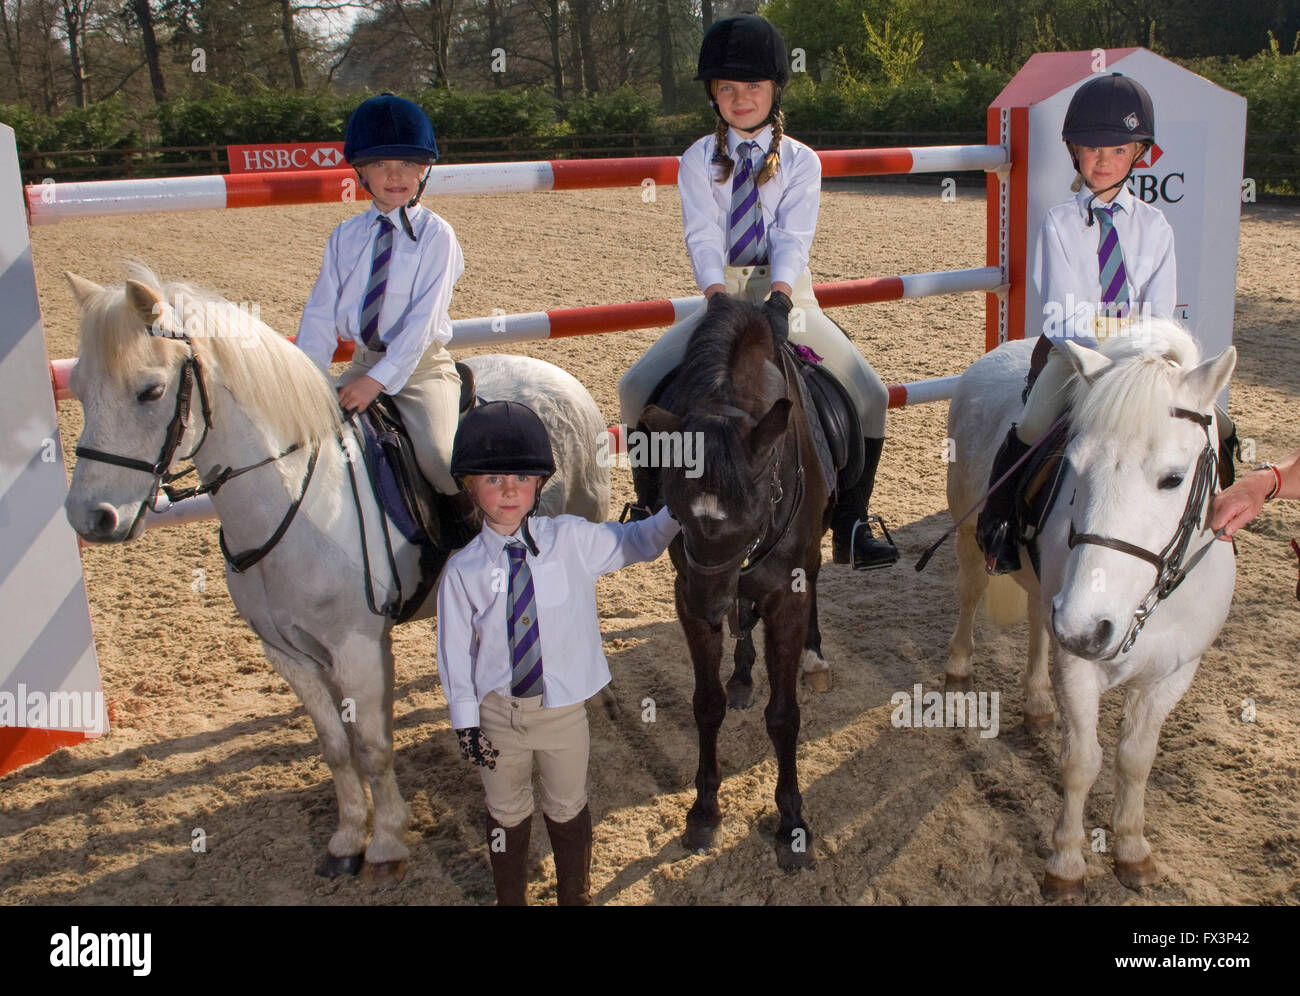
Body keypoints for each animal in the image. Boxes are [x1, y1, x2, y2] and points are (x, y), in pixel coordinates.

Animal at [62, 265, 609, 883]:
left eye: (150, 391)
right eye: (78, 387)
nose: (91, 517)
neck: (296, 500)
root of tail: (559, 379)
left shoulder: (357, 647)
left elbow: (372, 747)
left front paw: (388, 842)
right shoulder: (288, 654)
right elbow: (335, 747)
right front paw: (348, 837)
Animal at [638, 294, 832, 870]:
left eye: (749, 518)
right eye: (676, 511)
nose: (709, 609)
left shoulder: (787, 595)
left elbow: (784, 715)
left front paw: (792, 823)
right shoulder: (687, 591)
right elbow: (707, 704)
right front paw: (703, 811)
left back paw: (813, 656)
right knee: (743, 621)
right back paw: (743, 672)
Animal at [945, 319, 1236, 900]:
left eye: (1173, 478)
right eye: (1074, 468)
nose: (1085, 626)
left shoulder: (1173, 672)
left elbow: (1135, 759)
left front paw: (1132, 848)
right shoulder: (1078, 664)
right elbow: (1082, 762)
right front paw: (1066, 862)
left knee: (1040, 621)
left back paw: (1037, 700)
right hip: (970, 531)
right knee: (971, 593)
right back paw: (960, 666)